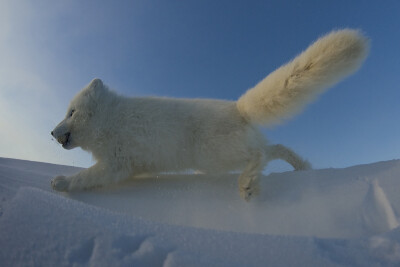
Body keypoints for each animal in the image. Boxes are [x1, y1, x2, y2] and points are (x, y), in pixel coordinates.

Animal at [51, 29, 370, 201]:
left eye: (71, 112)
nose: (52, 133)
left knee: (260, 154)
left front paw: (62, 183)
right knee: (274, 148)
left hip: (213, 156)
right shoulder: (130, 167)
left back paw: (247, 185)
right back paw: (301, 167)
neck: (110, 120)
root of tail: (238, 107)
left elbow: (87, 177)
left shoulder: (116, 163)